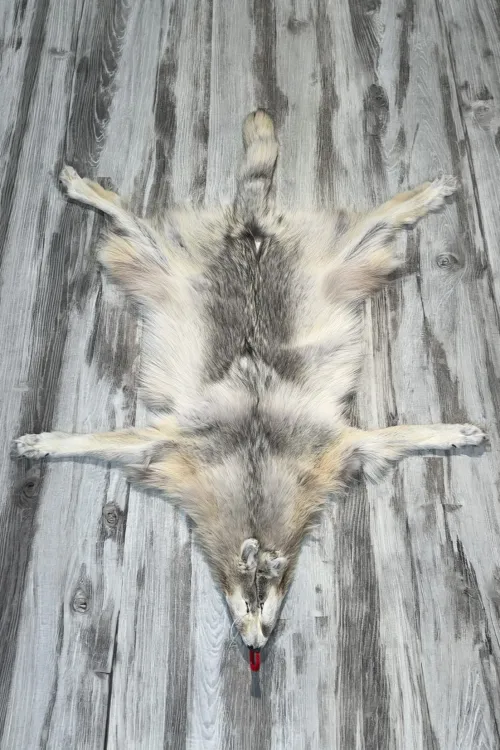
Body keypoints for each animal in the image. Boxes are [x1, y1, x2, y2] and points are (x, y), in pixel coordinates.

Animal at [15, 110, 485, 650]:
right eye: (247, 605)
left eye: (266, 605)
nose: (256, 644)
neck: (254, 491)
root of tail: (252, 230)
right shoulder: (179, 443)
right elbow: (102, 440)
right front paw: (50, 441)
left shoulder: (331, 447)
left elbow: (395, 434)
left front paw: (449, 432)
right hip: (171, 266)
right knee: (132, 221)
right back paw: (93, 192)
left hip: (334, 265)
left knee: (380, 221)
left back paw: (419, 197)